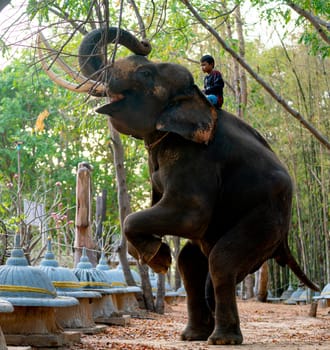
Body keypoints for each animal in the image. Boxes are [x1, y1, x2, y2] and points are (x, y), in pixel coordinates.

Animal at [78, 27, 320, 344]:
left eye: (145, 73)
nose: (144, 42)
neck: (196, 97)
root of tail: (284, 242)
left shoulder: (196, 158)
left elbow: (189, 215)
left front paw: (159, 259)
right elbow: (161, 209)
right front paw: (158, 254)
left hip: (268, 219)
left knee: (221, 261)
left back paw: (221, 340)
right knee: (191, 263)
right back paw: (192, 335)